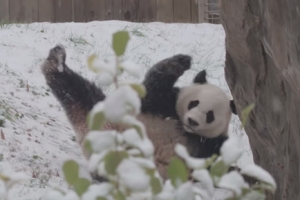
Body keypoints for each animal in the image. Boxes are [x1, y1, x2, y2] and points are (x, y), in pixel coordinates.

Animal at [40, 44, 237, 180]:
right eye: (193, 103)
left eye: (210, 115)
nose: (192, 121)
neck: (183, 128)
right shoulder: (161, 106)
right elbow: (152, 86)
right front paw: (180, 62)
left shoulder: (209, 145)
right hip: (106, 113)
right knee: (78, 91)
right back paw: (54, 63)